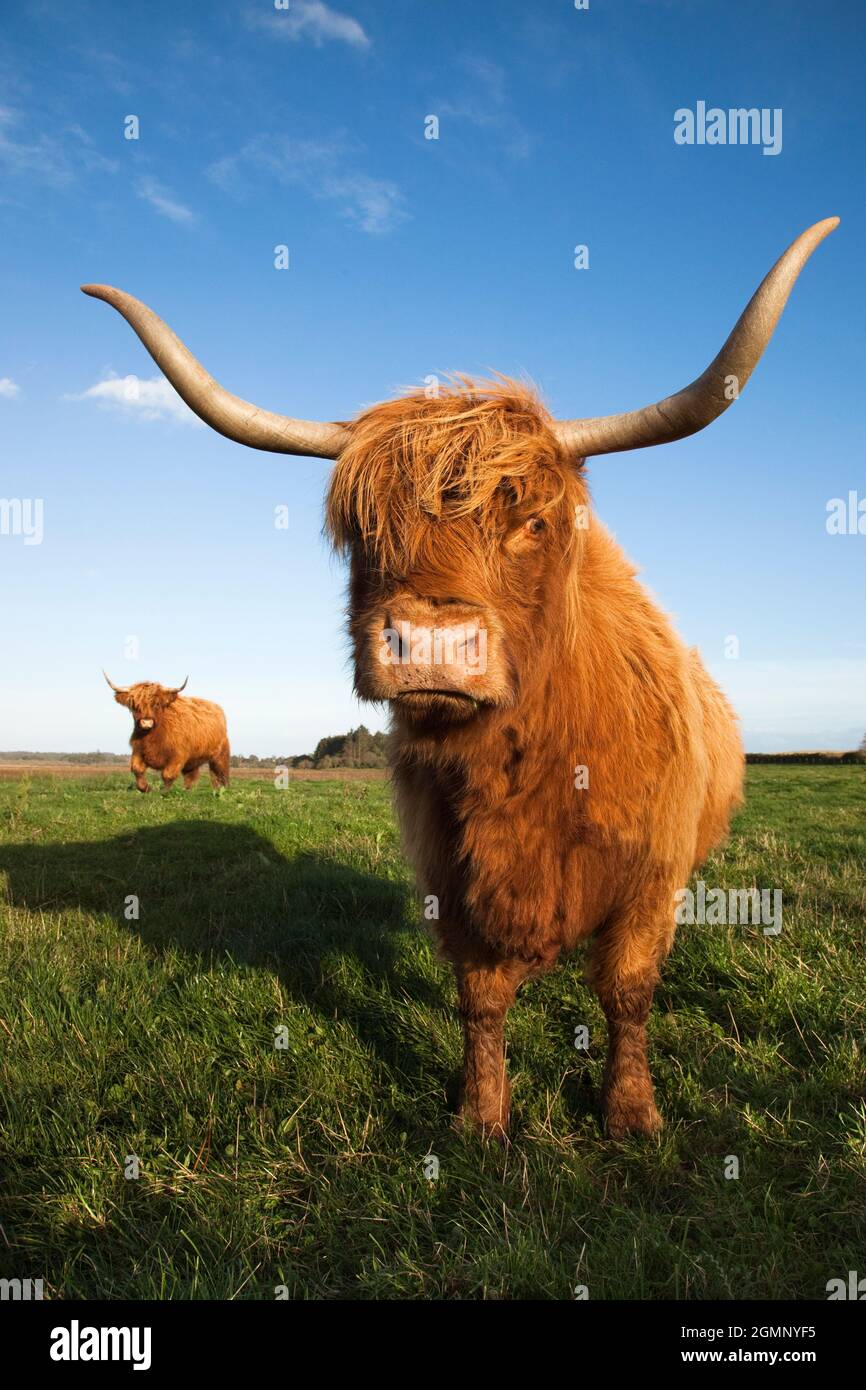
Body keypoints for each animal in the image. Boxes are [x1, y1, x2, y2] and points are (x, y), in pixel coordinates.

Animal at [103, 672, 232, 795]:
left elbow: (167, 775)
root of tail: (218, 709)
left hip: (220, 755)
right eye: (135, 705)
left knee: (220, 774)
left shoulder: (178, 755)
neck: (153, 737)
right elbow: (137, 769)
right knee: (191, 777)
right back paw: (188, 791)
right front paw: (146, 788)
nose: (146, 722)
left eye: (157, 704)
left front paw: (164, 793)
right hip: (192, 761)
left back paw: (222, 790)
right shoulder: (138, 750)